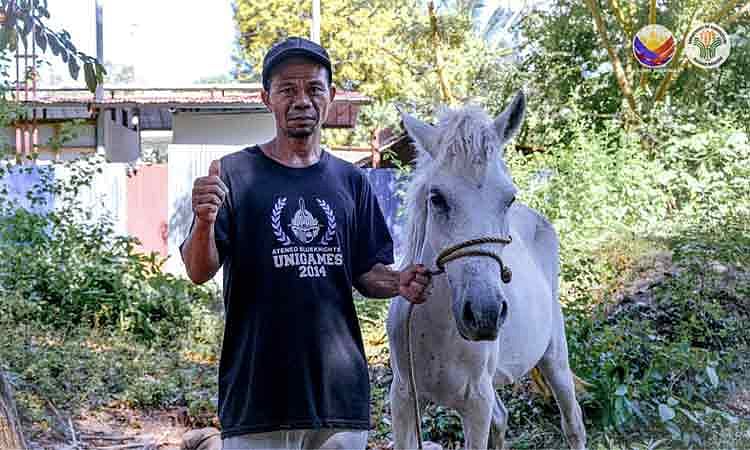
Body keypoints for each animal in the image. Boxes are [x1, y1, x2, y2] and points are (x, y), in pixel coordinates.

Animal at [386, 91, 586, 450]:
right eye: (437, 198)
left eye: (509, 198)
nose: (484, 314)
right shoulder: (404, 398)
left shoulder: (476, 405)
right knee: (503, 419)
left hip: (554, 357)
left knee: (573, 421)